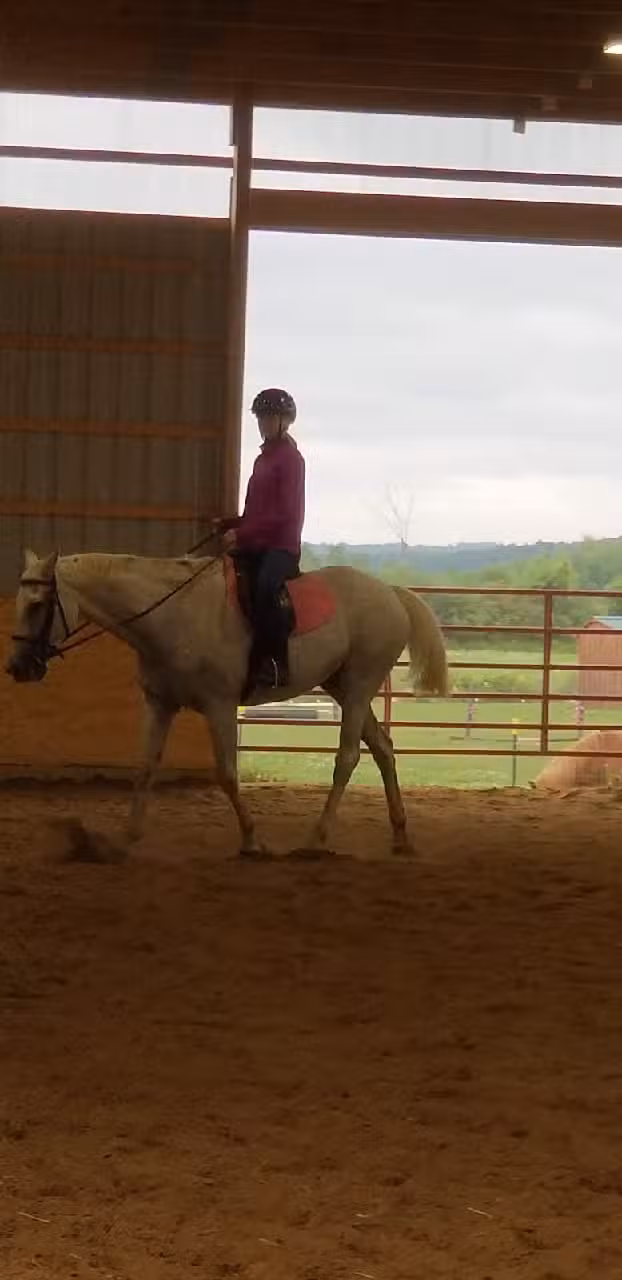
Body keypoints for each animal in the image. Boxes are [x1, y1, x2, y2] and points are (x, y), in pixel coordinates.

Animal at [5, 548, 449, 858]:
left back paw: (316, 839)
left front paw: (252, 841)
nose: (17, 667)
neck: (172, 615)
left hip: (358, 687)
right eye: (20, 602)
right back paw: (400, 836)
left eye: (39, 604)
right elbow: (145, 767)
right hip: (341, 686)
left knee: (348, 758)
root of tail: (390, 593)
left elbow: (227, 774)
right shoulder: (160, 704)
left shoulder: (219, 706)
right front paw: (123, 839)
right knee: (383, 749)